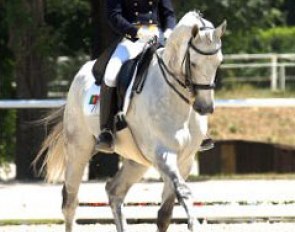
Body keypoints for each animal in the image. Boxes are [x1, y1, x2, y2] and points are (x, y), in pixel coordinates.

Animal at [36, 11, 227, 232]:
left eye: (219, 62)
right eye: (194, 63)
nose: (205, 108)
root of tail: (81, 74)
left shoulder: (185, 160)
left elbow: (165, 214)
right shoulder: (164, 155)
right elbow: (184, 193)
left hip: (138, 160)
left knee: (114, 191)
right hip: (78, 149)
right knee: (70, 202)